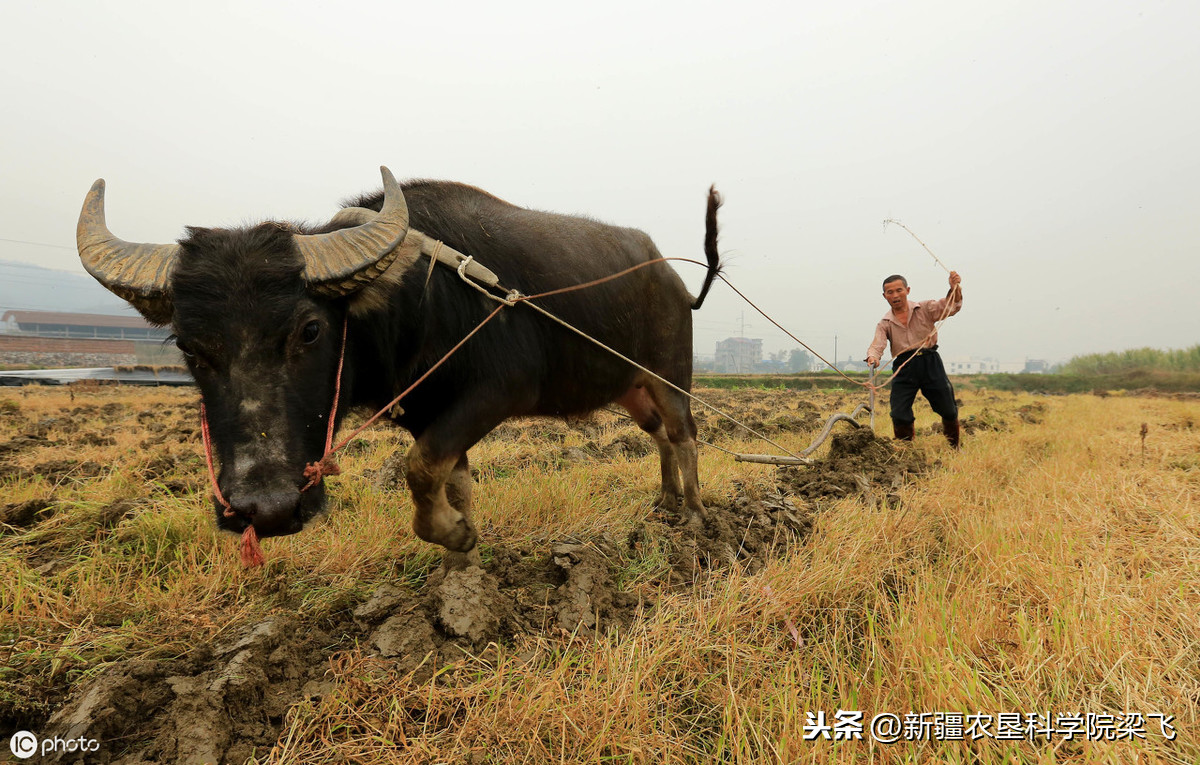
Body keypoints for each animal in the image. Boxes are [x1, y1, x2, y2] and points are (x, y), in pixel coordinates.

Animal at [77, 172, 720, 570]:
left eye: (310, 330)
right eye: (188, 346)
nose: (267, 511)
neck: (415, 304)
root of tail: (674, 280)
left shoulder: (497, 392)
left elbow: (418, 467)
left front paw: (454, 535)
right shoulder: (427, 412)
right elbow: (449, 478)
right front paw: (462, 553)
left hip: (670, 377)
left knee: (685, 435)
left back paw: (693, 515)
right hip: (632, 390)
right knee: (660, 438)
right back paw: (664, 504)